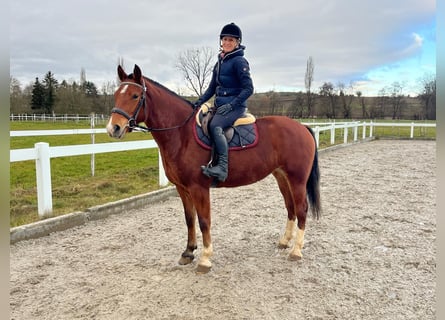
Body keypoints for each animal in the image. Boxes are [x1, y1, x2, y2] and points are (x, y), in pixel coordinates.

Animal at [106, 64, 320, 272]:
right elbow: (189, 219)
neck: (182, 134)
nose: (113, 128)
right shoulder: (182, 188)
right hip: (282, 176)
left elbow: (204, 221)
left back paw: (296, 250)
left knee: (302, 208)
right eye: (116, 94)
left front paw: (205, 258)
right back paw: (285, 241)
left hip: (297, 179)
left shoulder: (199, 188)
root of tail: (302, 127)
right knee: (290, 207)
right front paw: (188, 252)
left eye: (135, 96)